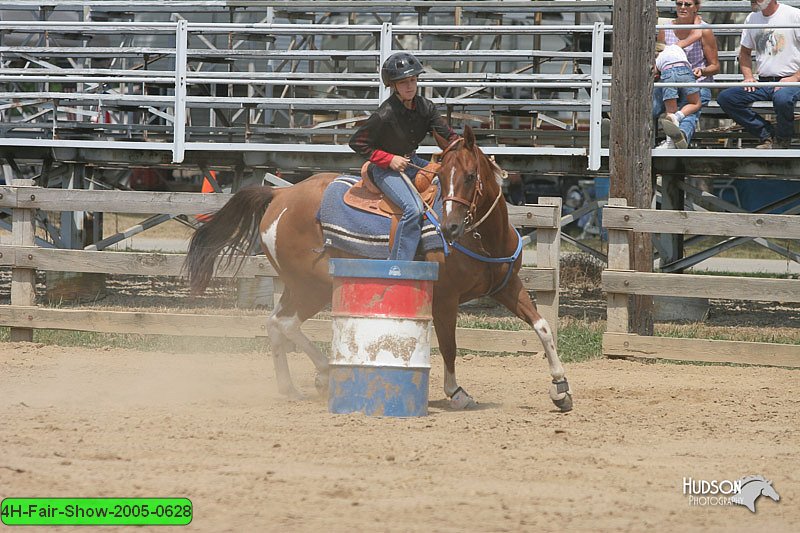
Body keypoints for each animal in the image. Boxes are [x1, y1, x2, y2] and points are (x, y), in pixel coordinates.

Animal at [186, 125, 576, 412]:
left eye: (469, 175)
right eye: (443, 175)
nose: (449, 227)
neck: (481, 237)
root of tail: (280, 196)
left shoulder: (507, 287)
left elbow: (542, 327)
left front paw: (560, 388)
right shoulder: (445, 298)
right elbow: (449, 345)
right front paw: (456, 392)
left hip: (301, 287)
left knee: (275, 323)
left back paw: (290, 386)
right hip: (312, 285)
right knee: (285, 323)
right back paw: (323, 373)